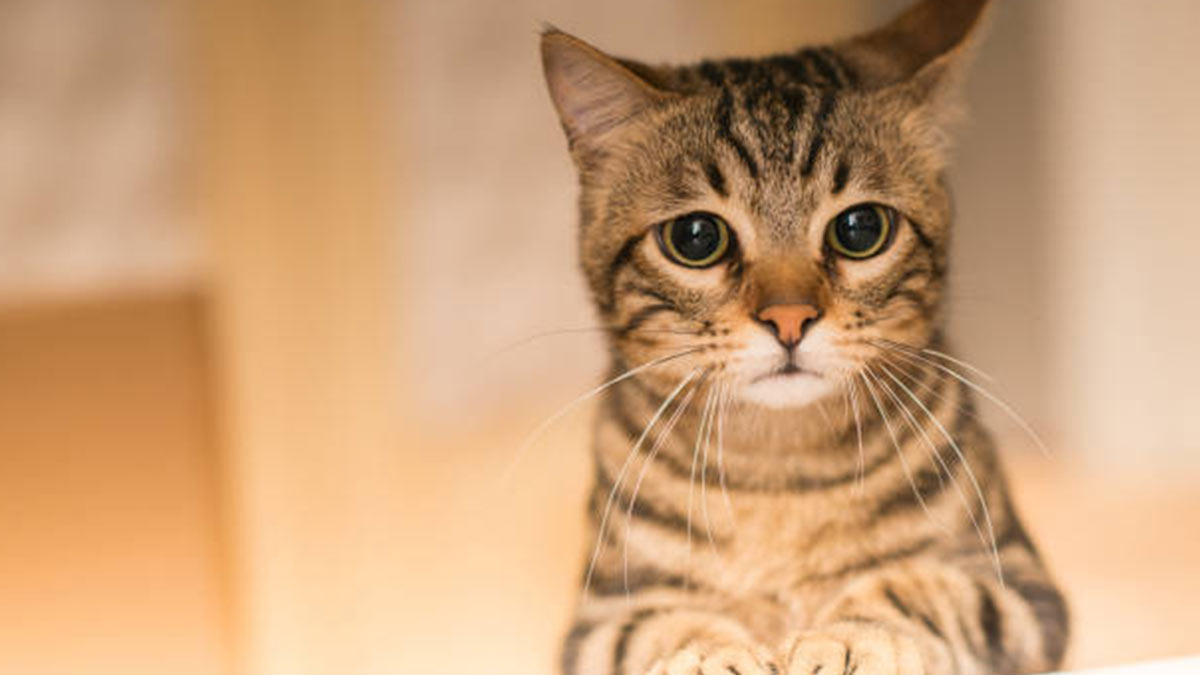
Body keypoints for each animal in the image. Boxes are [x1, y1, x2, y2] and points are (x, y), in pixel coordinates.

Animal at [540, 1, 1065, 672]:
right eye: (695, 238)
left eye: (861, 228)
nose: (788, 318)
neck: (779, 475)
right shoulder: (600, 618)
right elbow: (661, 624)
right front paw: (714, 652)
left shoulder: (1023, 589)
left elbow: (919, 585)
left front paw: (847, 635)